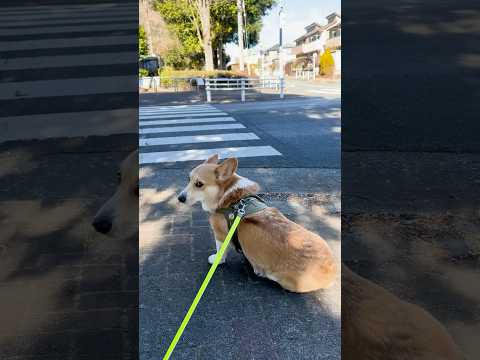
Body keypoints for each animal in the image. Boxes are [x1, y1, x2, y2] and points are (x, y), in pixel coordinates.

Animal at [177, 154, 338, 292]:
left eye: (199, 184)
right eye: (188, 179)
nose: (180, 198)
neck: (228, 197)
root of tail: (331, 270)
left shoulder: (220, 235)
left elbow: (220, 251)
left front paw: (217, 260)